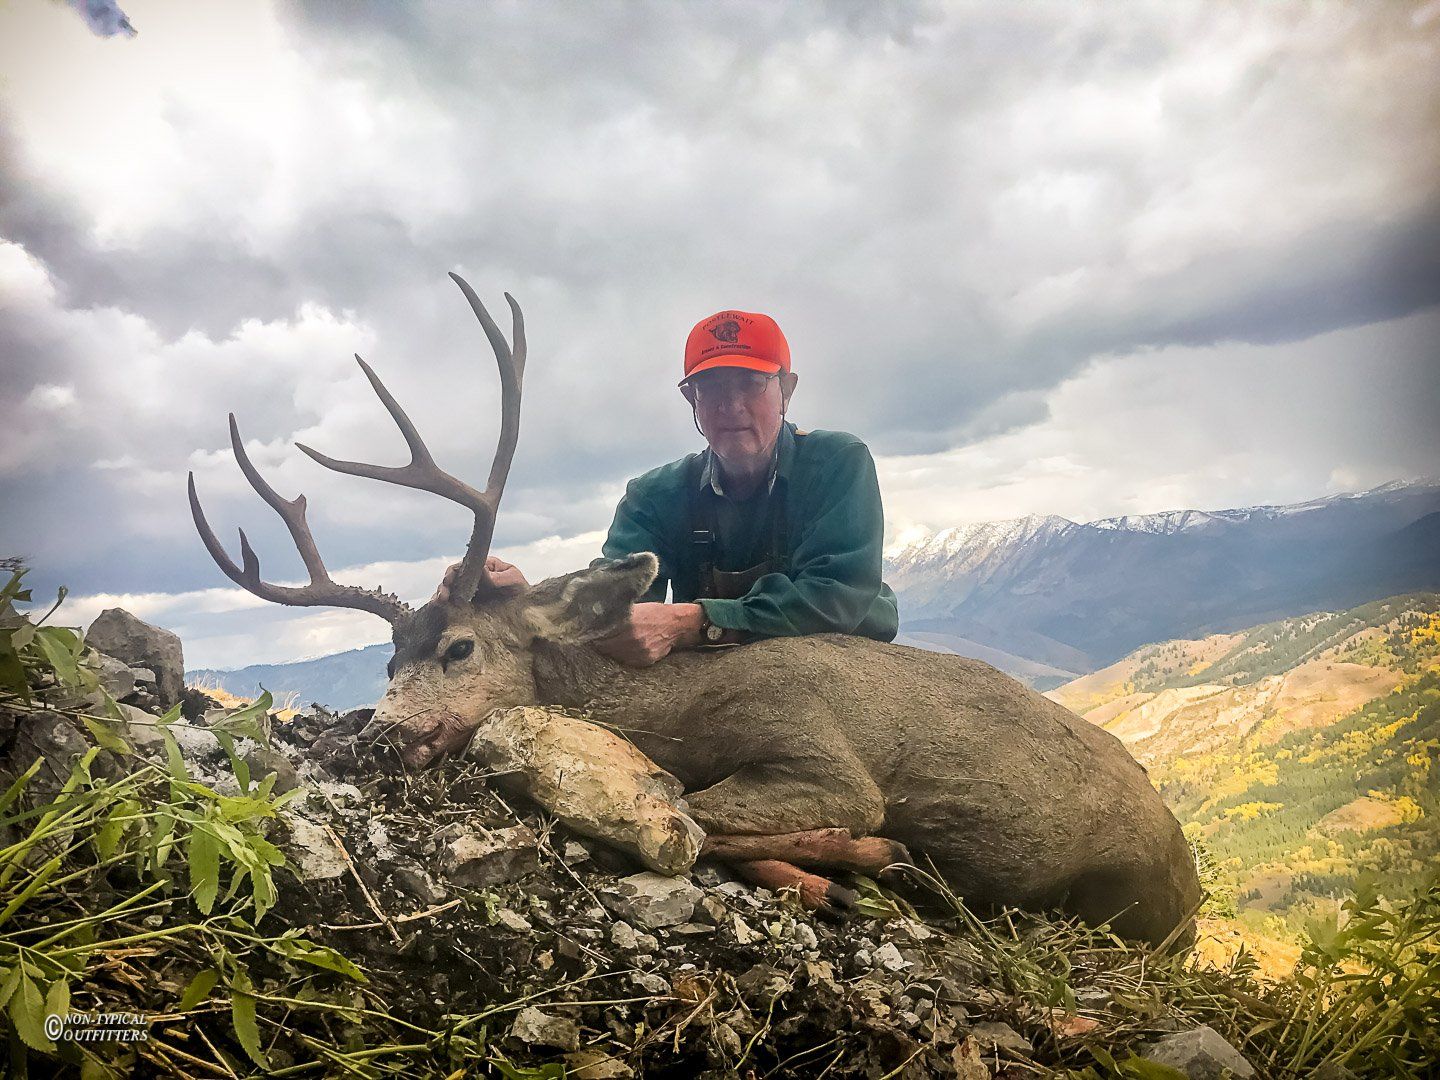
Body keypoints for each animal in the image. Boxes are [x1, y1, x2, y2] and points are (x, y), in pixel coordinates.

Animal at [188, 274, 1201, 947]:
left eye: (461, 649)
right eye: (387, 663)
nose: (374, 739)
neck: (674, 709)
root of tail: (1189, 883)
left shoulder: (819, 749)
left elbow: (699, 814)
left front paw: (867, 855)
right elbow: (703, 819)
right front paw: (852, 868)